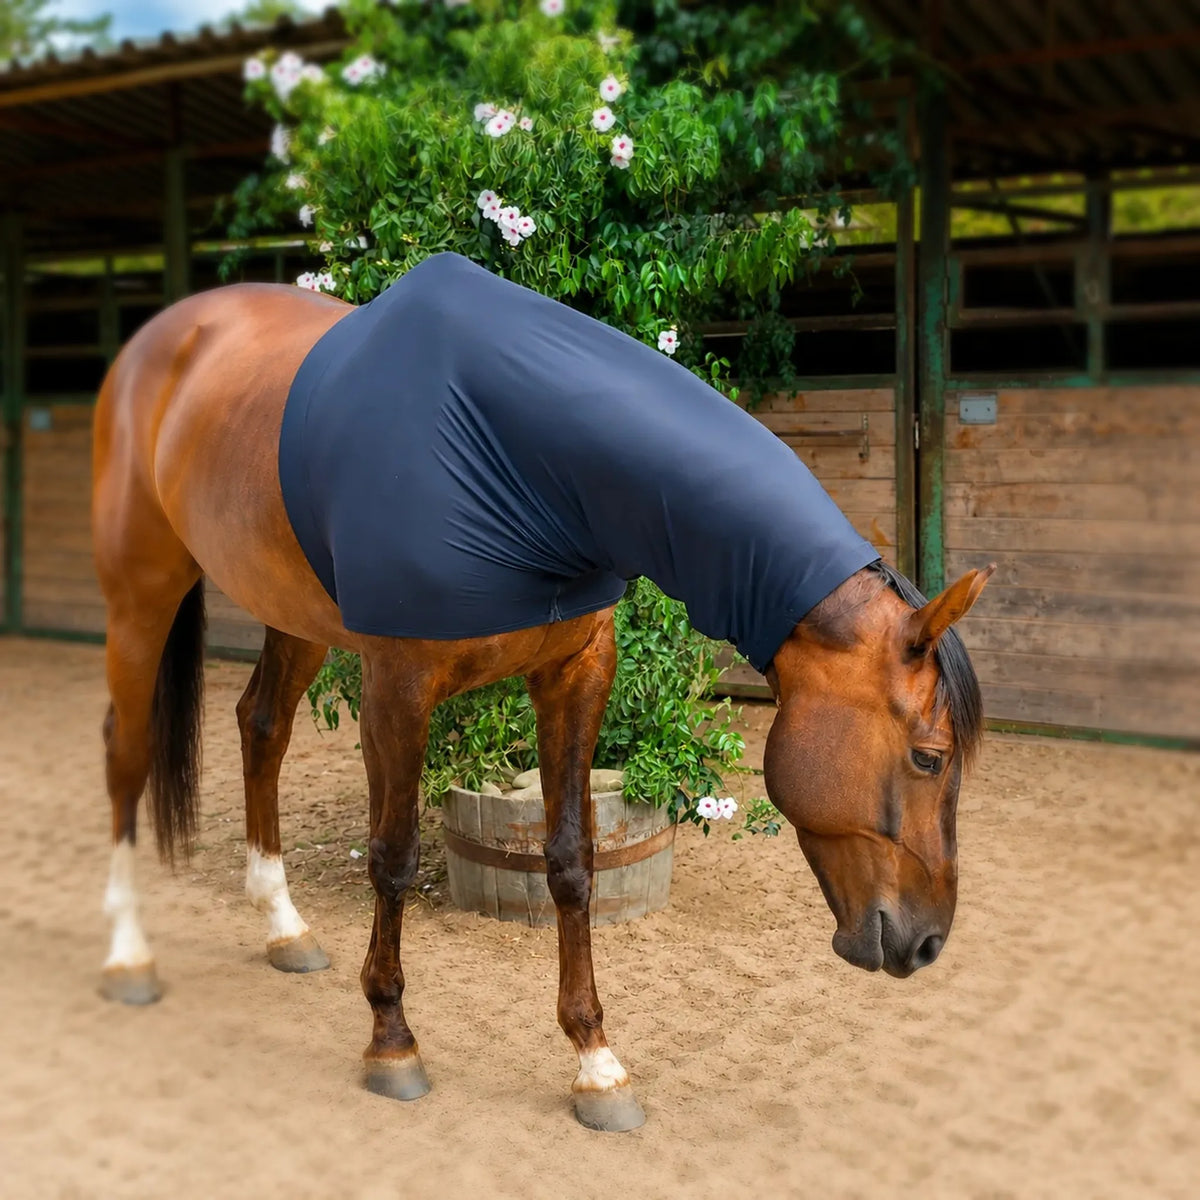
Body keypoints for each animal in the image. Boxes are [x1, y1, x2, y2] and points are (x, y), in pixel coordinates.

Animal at [91, 256, 992, 1132]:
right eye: (929, 756)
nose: (928, 944)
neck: (515, 457)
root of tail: (161, 340)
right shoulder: (396, 689)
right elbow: (393, 858)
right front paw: (392, 1041)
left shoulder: (576, 673)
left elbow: (570, 860)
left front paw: (596, 1063)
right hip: (141, 588)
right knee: (126, 748)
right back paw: (129, 953)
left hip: (292, 614)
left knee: (262, 727)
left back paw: (282, 926)